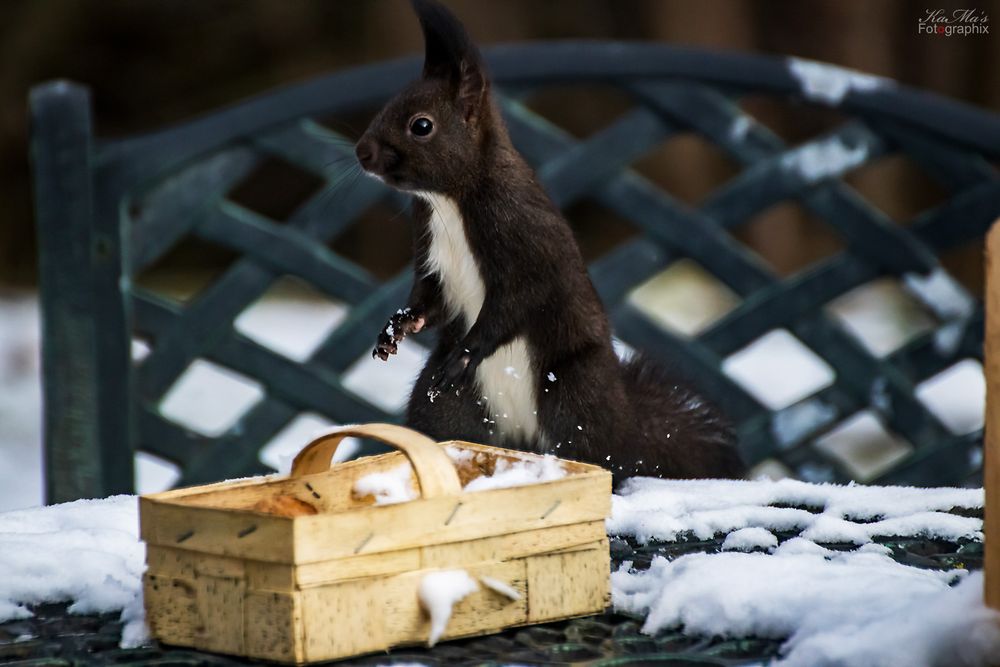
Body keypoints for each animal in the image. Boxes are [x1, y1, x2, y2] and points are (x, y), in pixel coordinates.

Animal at [354, 0, 744, 482]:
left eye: (421, 125)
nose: (362, 152)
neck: (452, 199)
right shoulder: (432, 255)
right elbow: (430, 300)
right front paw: (395, 328)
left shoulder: (525, 242)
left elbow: (517, 302)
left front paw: (468, 349)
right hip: (447, 404)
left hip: (575, 393)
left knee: (598, 454)